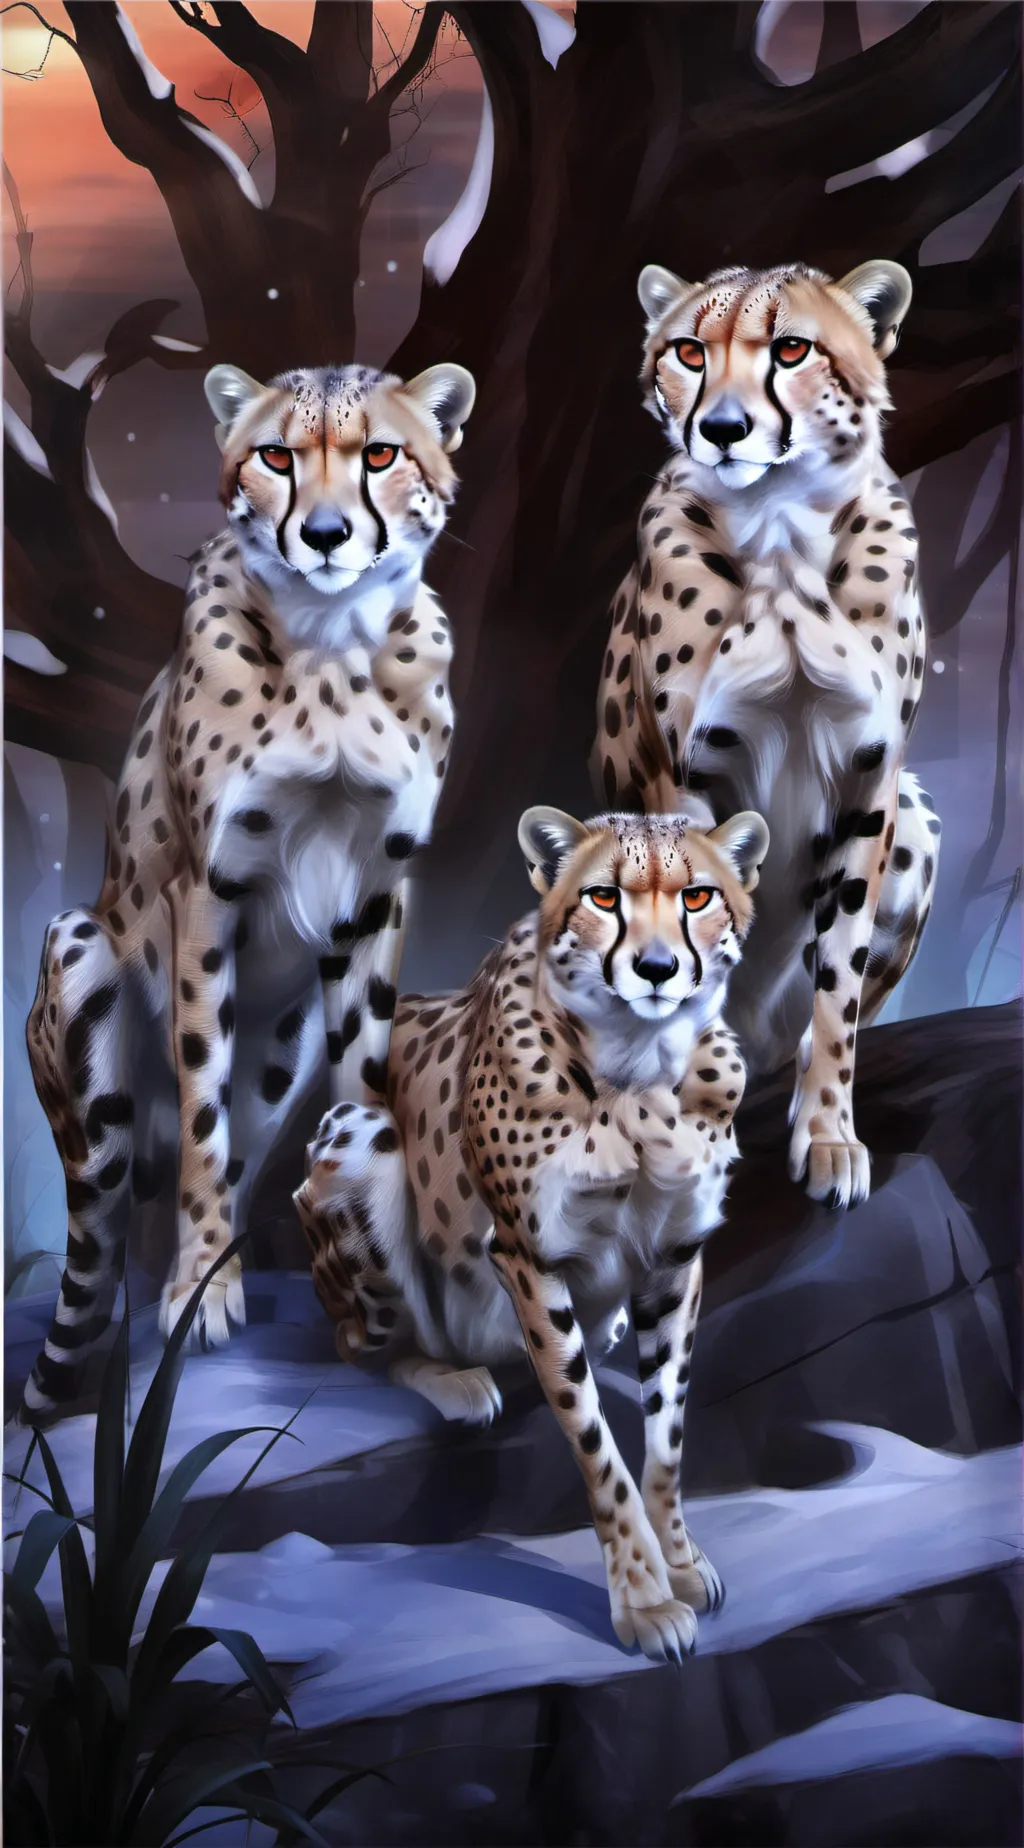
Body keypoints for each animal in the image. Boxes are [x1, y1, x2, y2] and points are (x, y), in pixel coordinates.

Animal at [21, 357, 475, 1420]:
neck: (333, 648)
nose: (325, 533)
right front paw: (201, 1290)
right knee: (113, 1211)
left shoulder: (377, 891)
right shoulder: (207, 891)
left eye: (381, 453)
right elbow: (202, 1108)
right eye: (275, 456)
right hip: (80, 952)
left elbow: (363, 1074)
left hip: (284, 1044)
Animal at [295, 799, 769, 1661]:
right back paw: (457, 1381)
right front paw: (644, 1602)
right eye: (604, 897)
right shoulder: (528, 1260)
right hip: (363, 1142)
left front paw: (681, 1564)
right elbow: (597, 1446)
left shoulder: (674, 1261)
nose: (657, 969)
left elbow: (666, 1439)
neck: (640, 1074)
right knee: (360, 1349)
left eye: (697, 897)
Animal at [594, 258, 941, 1211]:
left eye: (791, 349)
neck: (781, 530)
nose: (720, 429)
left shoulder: (872, 782)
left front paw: (827, 1138)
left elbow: (839, 992)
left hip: (919, 823)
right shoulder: (685, 777)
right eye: (687, 351)